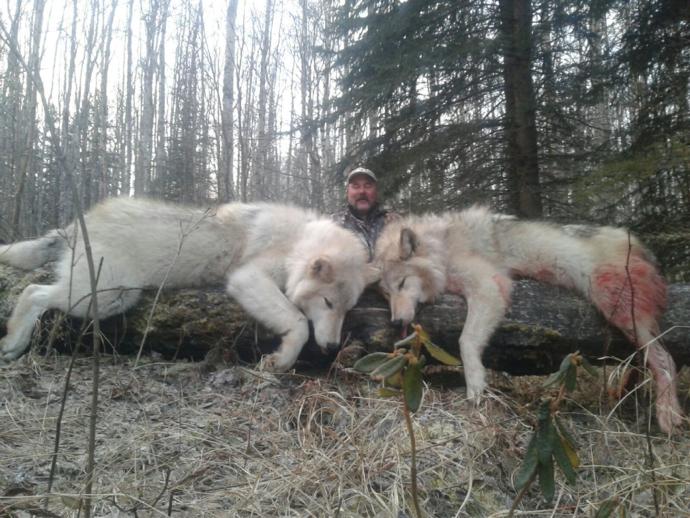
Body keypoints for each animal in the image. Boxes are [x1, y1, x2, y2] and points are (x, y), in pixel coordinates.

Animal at [0, 197, 378, 370]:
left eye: (347, 310)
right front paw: (283, 360)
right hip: (106, 296)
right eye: (328, 304)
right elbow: (299, 323)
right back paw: (13, 344)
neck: (298, 241)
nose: (331, 347)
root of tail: (79, 223)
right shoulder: (247, 278)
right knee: (33, 293)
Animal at [375, 206, 683, 433]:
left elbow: (466, 341)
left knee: (665, 360)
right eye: (387, 294)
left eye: (402, 283)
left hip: (616, 304)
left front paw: (475, 385)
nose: (394, 322)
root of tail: (638, 243)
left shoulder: (489, 286)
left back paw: (668, 416)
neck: (442, 247)